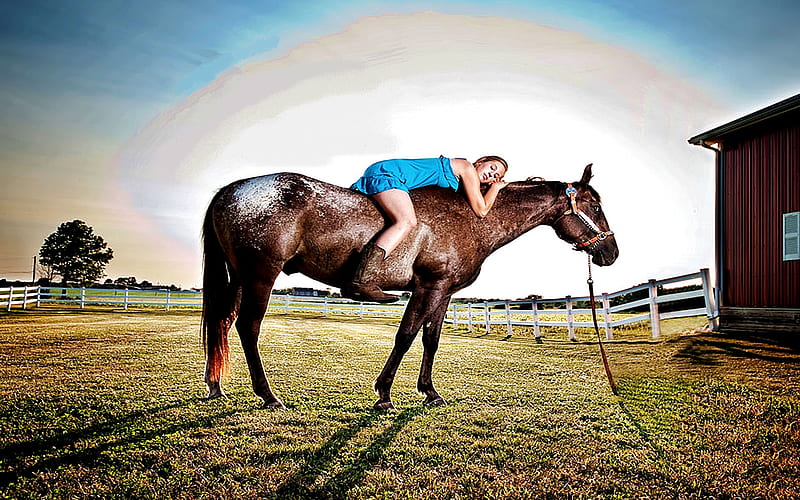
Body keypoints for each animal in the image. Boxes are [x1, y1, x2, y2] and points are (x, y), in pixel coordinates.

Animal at [200, 164, 620, 410]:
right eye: (596, 206)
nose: (611, 252)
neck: (471, 215)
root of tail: (233, 189)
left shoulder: (443, 291)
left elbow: (430, 339)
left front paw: (430, 391)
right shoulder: (427, 287)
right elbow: (405, 336)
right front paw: (384, 393)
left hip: (239, 278)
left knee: (222, 323)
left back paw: (216, 387)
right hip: (261, 275)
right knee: (248, 328)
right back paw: (268, 396)